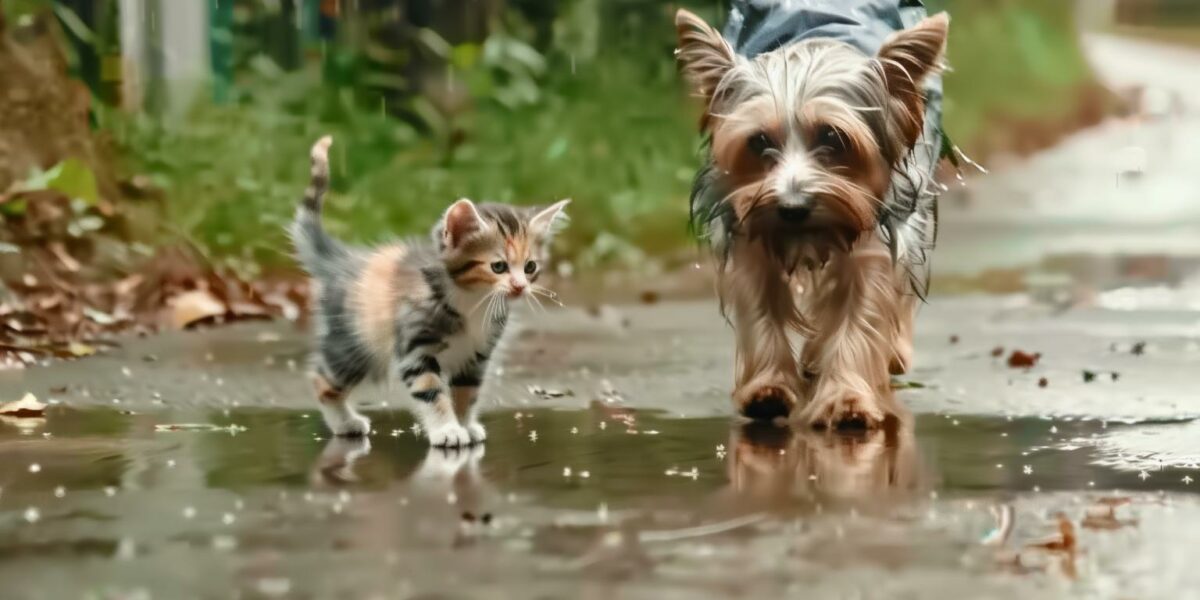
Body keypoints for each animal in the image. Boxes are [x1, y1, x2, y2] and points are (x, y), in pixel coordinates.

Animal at [292, 136, 568, 446]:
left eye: (530, 267)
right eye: (498, 267)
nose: (520, 286)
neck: (472, 300)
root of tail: (342, 260)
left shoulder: (477, 355)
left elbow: (466, 392)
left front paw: (465, 424)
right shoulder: (415, 348)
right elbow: (431, 391)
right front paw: (447, 430)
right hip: (354, 342)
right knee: (322, 379)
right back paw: (344, 422)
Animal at [676, 2, 945, 429]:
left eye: (832, 138)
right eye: (759, 142)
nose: (792, 207)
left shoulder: (874, 234)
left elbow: (859, 315)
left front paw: (848, 399)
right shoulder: (750, 231)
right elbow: (760, 312)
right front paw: (767, 389)